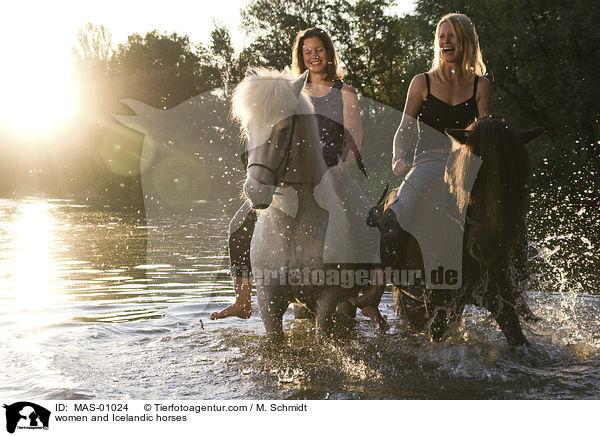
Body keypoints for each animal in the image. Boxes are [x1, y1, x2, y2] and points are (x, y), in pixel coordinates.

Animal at [376, 115, 544, 344]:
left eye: (514, 179)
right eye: (470, 177)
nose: (485, 247)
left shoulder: (500, 299)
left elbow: (519, 341)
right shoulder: (436, 305)